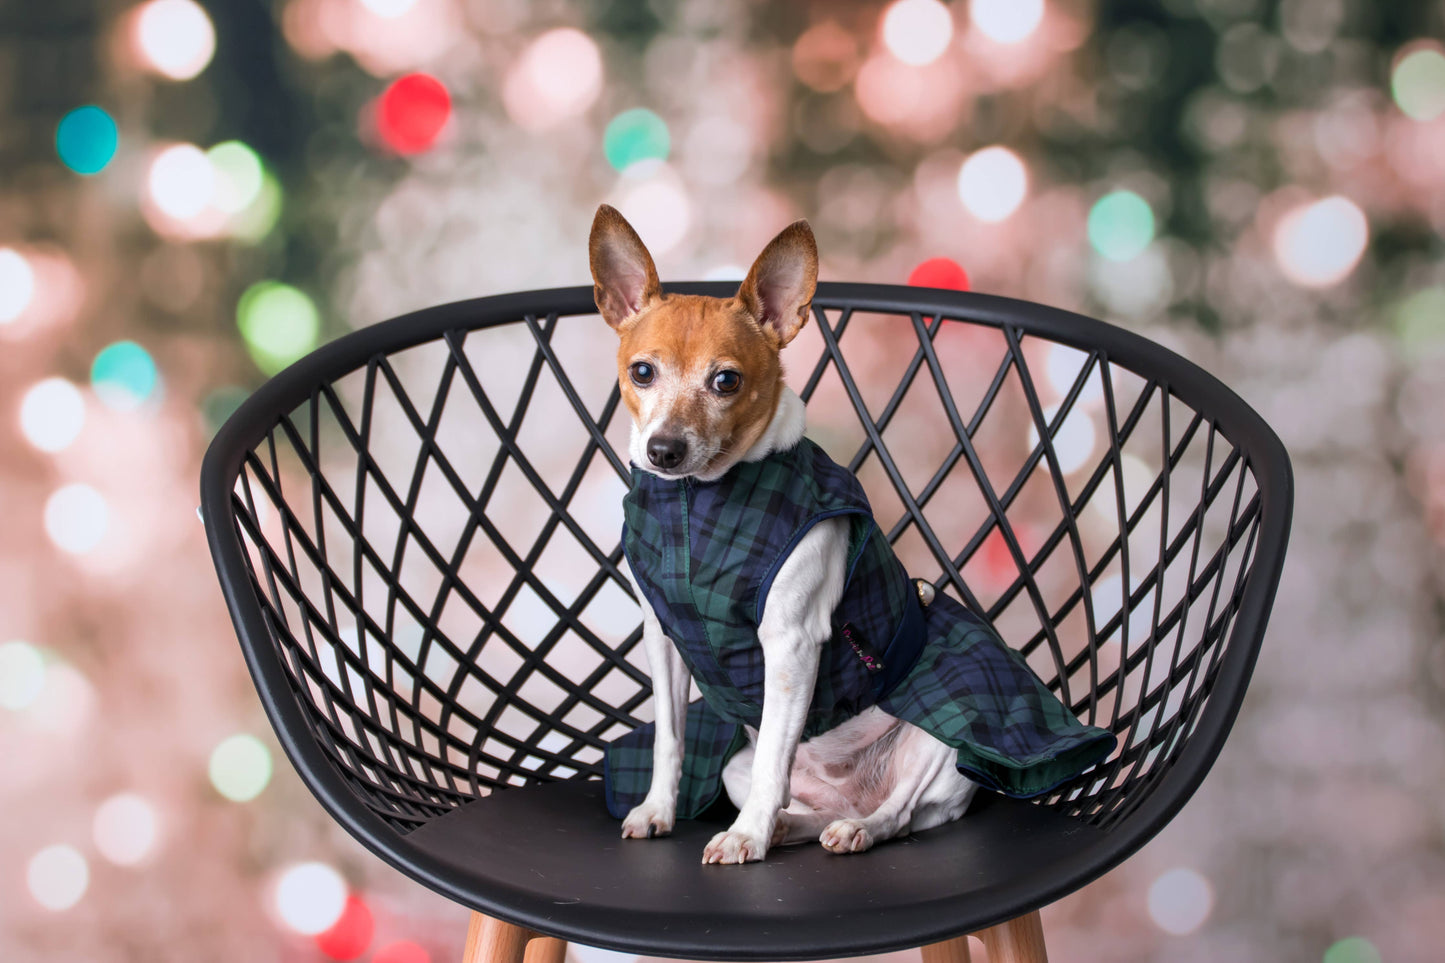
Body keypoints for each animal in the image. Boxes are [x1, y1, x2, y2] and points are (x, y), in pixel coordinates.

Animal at [592, 202, 1109, 861]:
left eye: (726, 381)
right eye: (642, 372)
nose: (664, 450)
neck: (699, 500)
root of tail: (850, 795)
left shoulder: (789, 645)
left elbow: (774, 757)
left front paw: (745, 838)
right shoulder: (662, 637)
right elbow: (671, 741)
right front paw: (659, 810)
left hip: (938, 735)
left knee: (903, 812)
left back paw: (850, 828)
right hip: (737, 762)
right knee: (799, 799)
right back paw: (788, 825)